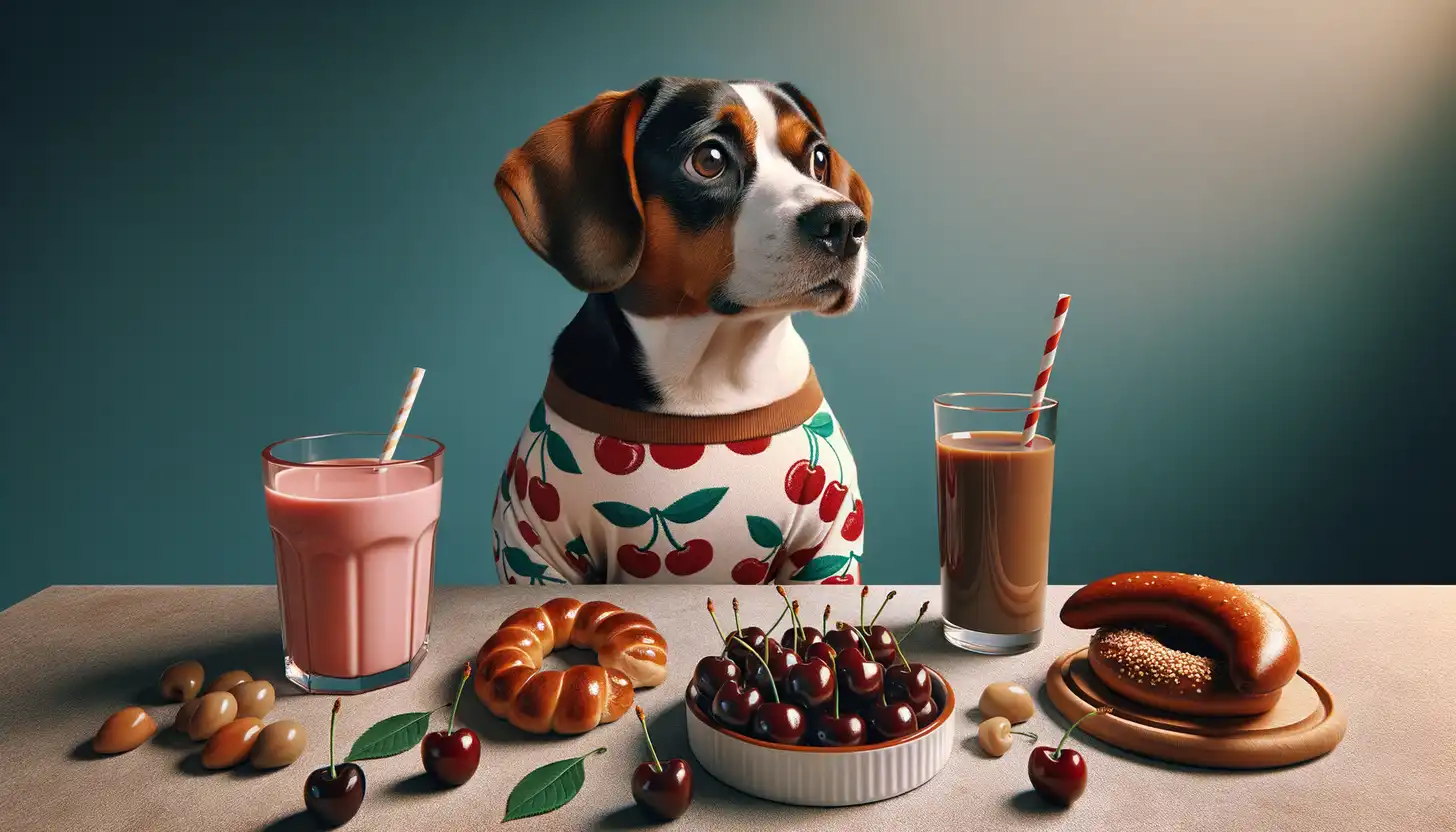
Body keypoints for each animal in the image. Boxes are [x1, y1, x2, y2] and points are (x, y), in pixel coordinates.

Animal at [489, 76, 873, 585]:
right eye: (709, 159)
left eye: (819, 159)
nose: (845, 224)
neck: (711, 381)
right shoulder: (533, 551)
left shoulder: (829, 550)